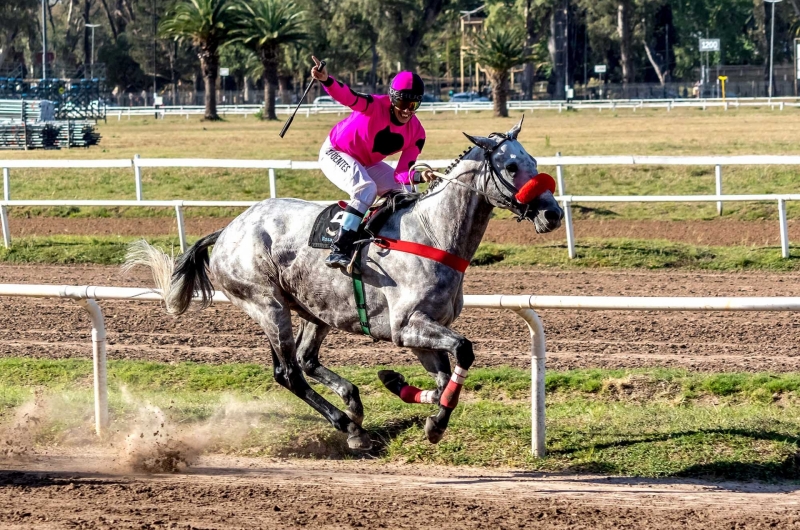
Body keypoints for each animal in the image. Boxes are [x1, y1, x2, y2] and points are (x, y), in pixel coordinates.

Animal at [126, 118, 564, 450]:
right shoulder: (406, 327)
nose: (553, 213)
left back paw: (352, 401)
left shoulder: (423, 334)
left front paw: (409, 395)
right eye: (511, 167)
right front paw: (430, 417)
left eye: (533, 160)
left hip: (313, 308)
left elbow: (444, 379)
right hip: (267, 304)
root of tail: (228, 230)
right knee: (288, 372)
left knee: (306, 359)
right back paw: (350, 427)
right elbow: (464, 351)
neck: (432, 234)